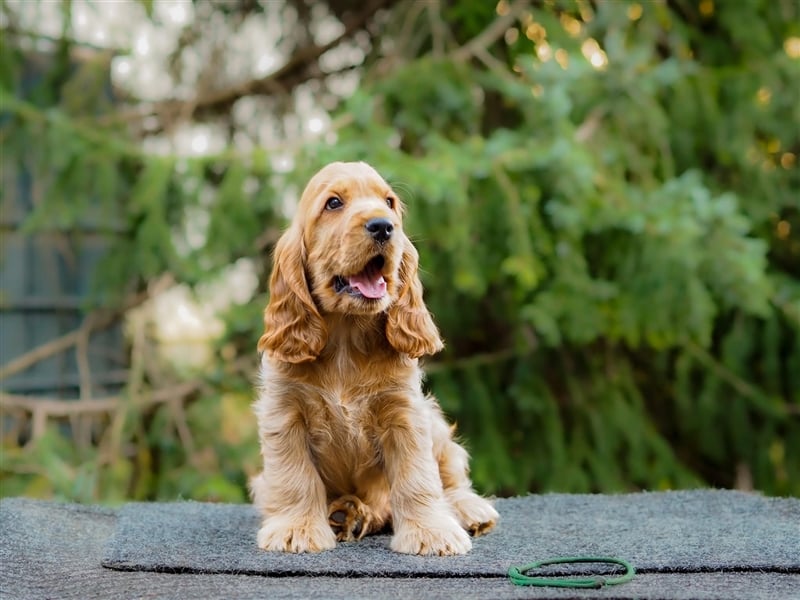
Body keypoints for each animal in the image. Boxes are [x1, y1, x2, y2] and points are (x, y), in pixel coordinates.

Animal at [253, 162, 496, 556]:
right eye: (333, 203)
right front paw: (296, 529)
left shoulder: (406, 413)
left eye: (390, 202)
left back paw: (466, 509)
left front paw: (431, 532)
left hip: (435, 421)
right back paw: (347, 514)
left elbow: (417, 478)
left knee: (450, 474)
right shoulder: (284, 413)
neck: (345, 339)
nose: (383, 226)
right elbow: (295, 477)